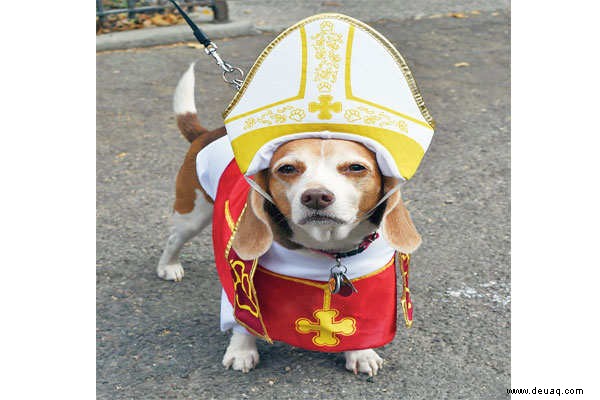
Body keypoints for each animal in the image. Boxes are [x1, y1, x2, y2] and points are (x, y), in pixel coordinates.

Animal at [159, 65, 422, 376]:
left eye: (356, 167)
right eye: (287, 169)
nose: (316, 196)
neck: (325, 248)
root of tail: (209, 133)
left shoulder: (368, 276)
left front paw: (361, 353)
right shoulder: (242, 277)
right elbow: (243, 319)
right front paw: (241, 351)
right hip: (192, 212)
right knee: (174, 239)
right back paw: (169, 266)